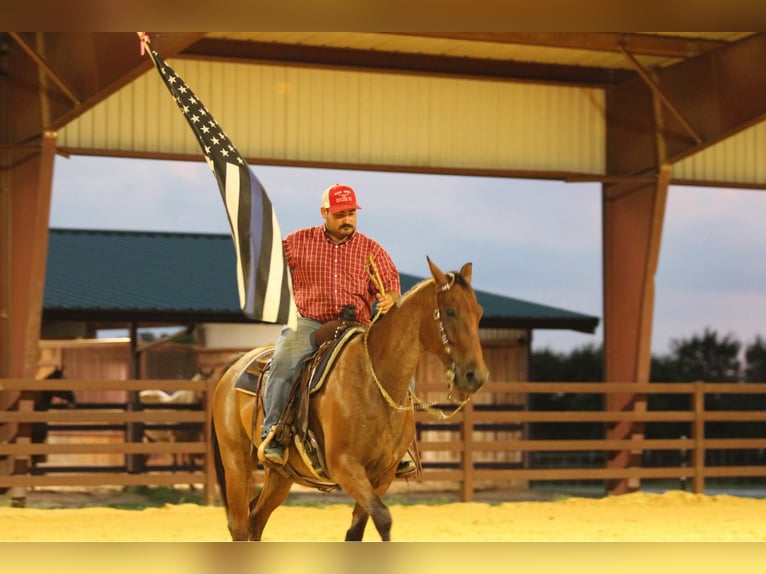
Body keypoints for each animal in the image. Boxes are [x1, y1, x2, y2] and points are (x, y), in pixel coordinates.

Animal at [211, 257, 489, 541]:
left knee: (256, 519)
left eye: (478, 313)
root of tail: (237, 363)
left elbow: (358, 529)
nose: (475, 376)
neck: (372, 381)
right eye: (450, 311)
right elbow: (383, 517)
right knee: (241, 525)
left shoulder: (382, 474)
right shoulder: (345, 466)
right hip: (236, 464)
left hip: (281, 476)